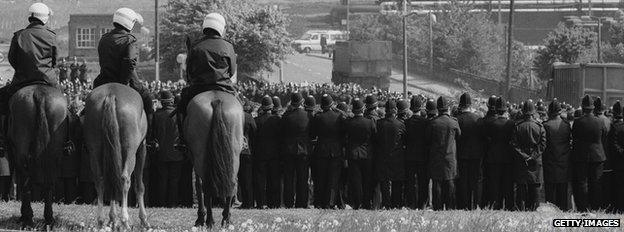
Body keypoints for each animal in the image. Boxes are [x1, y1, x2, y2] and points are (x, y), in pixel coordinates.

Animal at [6, 84, 68, 228]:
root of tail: (39, 93)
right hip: (54, 153)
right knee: (48, 182)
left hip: (21, 153)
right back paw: (49, 219)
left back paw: (27, 218)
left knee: (25, 180)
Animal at [83, 82, 149, 229]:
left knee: (100, 180)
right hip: (130, 151)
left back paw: (101, 220)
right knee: (124, 178)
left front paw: (112, 218)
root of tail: (111, 94)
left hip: (95, 150)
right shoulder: (141, 148)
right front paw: (144, 220)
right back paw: (125, 220)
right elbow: (140, 186)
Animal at [184, 90, 243, 228]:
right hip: (234, 154)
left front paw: (200, 217)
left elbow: (198, 184)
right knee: (232, 182)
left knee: (205, 186)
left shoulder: (194, 157)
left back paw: (209, 220)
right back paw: (226, 219)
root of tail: (216, 100)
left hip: (200, 156)